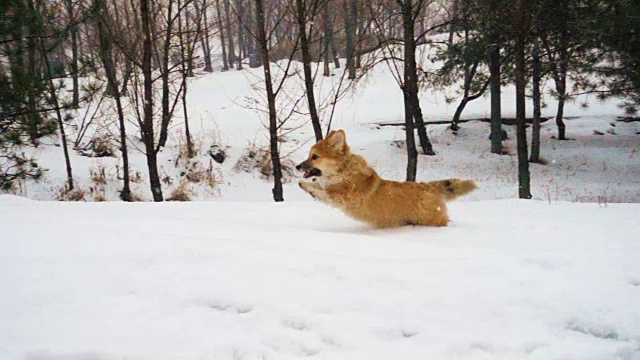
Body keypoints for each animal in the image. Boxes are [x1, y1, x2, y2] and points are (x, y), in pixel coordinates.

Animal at [296, 130, 476, 228]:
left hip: (432, 220)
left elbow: (322, 191)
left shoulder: (340, 197)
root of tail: (429, 187)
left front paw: (303, 183)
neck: (343, 170)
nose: (297, 167)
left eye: (314, 157)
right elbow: (319, 188)